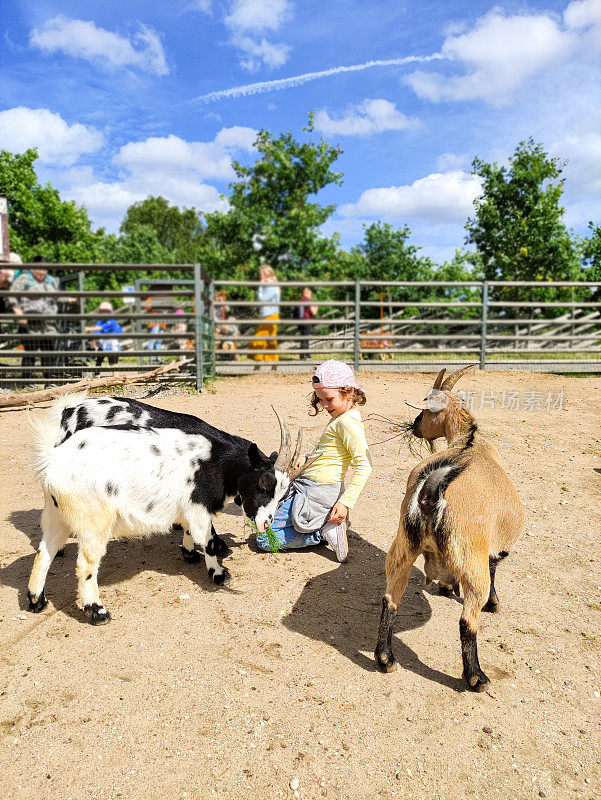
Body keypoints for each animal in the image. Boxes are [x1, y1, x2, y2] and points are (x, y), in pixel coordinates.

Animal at [28, 394, 300, 624]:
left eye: (283, 492)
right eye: (263, 482)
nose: (266, 523)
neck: (216, 461)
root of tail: (54, 459)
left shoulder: (189, 505)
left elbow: (191, 531)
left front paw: (189, 553)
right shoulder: (199, 505)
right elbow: (209, 542)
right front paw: (219, 574)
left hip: (55, 513)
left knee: (44, 553)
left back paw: (36, 601)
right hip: (93, 519)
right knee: (85, 565)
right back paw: (98, 611)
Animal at [376, 366, 520, 692]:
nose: (416, 425)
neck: (469, 441)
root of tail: (434, 487)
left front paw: (445, 586)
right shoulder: (491, 548)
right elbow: (495, 566)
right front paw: (494, 603)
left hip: (404, 544)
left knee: (390, 597)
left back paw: (386, 659)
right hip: (469, 556)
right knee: (468, 619)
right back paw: (476, 677)